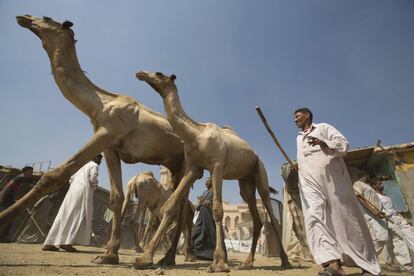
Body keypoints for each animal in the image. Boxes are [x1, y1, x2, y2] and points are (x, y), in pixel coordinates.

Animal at [2, 15, 194, 266]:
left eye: (46, 19)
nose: (24, 17)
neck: (100, 103)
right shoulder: (111, 147)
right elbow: (116, 198)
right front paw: (109, 254)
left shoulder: (105, 133)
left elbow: (54, 176)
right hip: (174, 166)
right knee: (180, 209)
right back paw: (169, 257)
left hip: (187, 163)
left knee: (181, 211)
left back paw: (168, 258)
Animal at [136, 70, 292, 272]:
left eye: (159, 73)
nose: (141, 73)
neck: (196, 133)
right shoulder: (194, 168)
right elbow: (170, 205)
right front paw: (145, 258)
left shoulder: (217, 165)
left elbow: (218, 209)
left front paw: (218, 263)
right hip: (245, 182)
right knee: (255, 217)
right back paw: (247, 262)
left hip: (260, 171)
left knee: (270, 214)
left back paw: (285, 261)